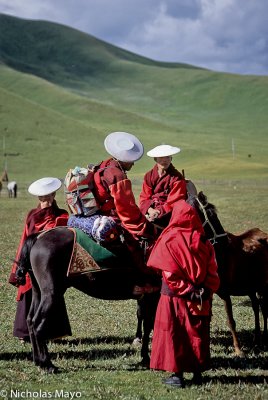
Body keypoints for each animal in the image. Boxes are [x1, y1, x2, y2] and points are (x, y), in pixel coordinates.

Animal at [14, 230, 159, 374]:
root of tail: (39, 236)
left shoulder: (146, 297)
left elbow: (145, 323)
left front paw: (144, 355)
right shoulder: (153, 296)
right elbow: (148, 326)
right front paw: (146, 358)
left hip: (38, 292)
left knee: (30, 320)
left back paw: (38, 361)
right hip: (51, 294)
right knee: (37, 323)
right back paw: (46, 364)